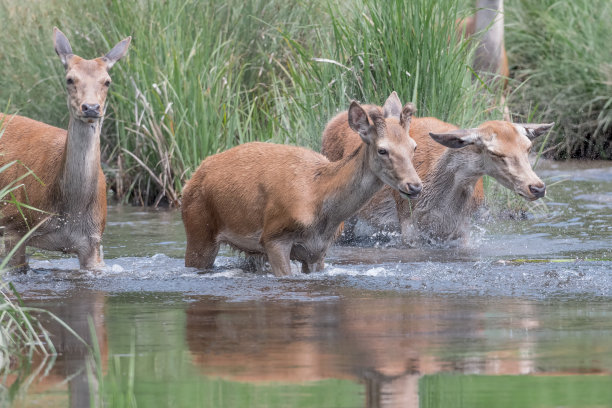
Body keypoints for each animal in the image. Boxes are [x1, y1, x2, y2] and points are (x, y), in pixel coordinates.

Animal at [182, 94, 420, 276]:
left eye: (414, 146)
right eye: (382, 150)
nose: (415, 185)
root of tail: (190, 179)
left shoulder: (318, 250)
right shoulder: (273, 236)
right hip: (198, 229)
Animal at [322, 91, 552, 245]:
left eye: (528, 147)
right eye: (495, 153)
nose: (537, 187)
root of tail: (334, 119)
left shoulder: (462, 228)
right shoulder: (408, 222)